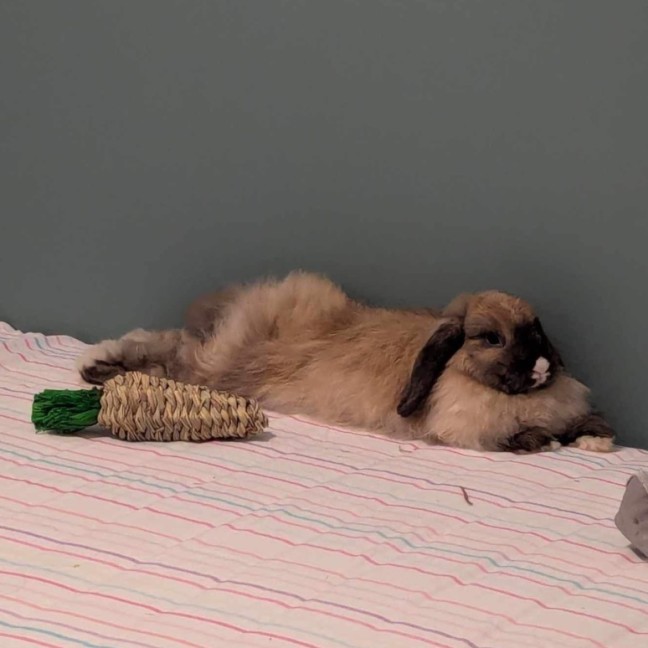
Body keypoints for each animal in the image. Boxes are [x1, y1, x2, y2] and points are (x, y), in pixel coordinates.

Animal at [77, 271, 615, 453]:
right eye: (491, 338)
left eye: (537, 328)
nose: (542, 367)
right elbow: (516, 437)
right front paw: (541, 441)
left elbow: (584, 423)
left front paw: (594, 439)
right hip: (224, 368)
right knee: (176, 352)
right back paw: (98, 363)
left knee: (169, 350)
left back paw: (99, 365)